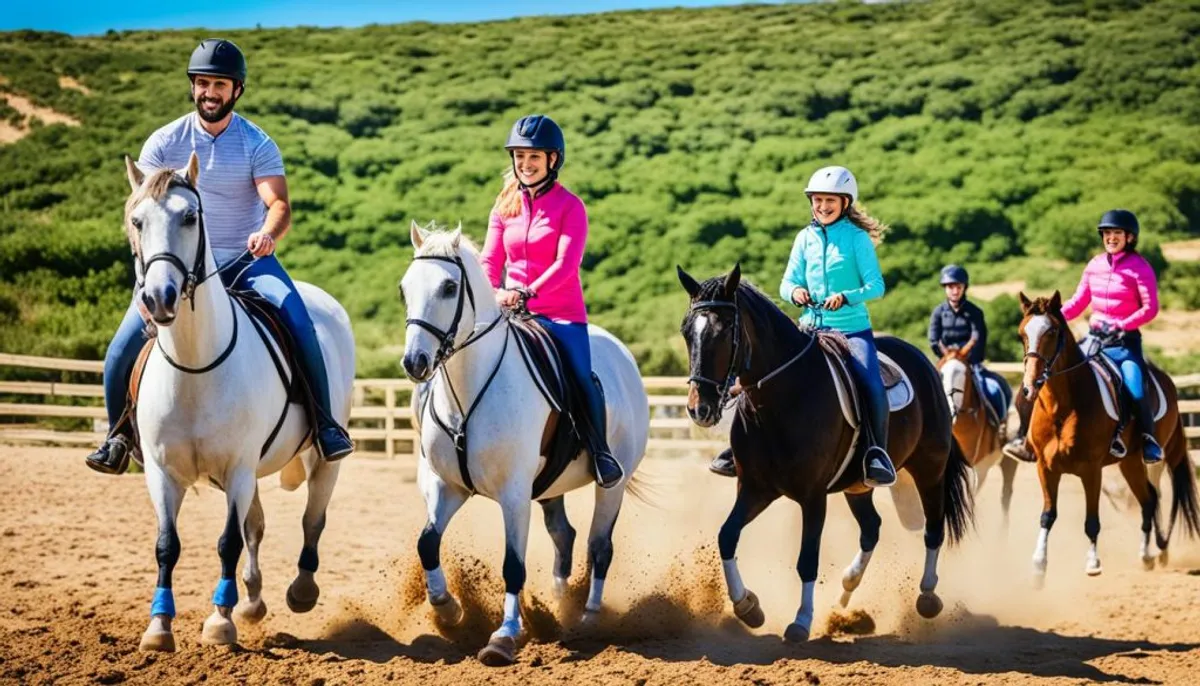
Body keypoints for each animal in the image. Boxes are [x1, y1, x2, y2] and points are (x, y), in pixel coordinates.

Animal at [123, 152, 352, 652]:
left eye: (190, 217)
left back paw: (300, 590)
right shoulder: (162, 471)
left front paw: (219, 622)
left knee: (312, 519)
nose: (159, 298)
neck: (194, 367)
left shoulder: (238, 467)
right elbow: (167, 544)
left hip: (320, 460)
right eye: (136, 220)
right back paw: (252, 600)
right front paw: (159, 626)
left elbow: (227, 541)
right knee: (257, 526)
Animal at [400, 224, 648, 666]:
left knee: (599, 546)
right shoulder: (447, 487)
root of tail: (623, 356)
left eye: (449, 287)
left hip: (613, 485)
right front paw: (448, 610)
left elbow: (513, 565)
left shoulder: (513, 495)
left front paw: (504, 636)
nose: (415, 362)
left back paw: (589, 617)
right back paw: (560, 604)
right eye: (404, 289)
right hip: (549, 486)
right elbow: (427, 543)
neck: (469, 393)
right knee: (564, 536)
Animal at [676, 263, 974, 642]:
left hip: (930, 470)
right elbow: (727, 537)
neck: (781, 399)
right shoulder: (755, 489)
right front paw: (748, 607)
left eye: (725, 329)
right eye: (687, 331)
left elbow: (807, 560)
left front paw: (801, 621)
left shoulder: (813, 497)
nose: (699, 408)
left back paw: (927, 596)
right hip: (858, 485)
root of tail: (924, 363)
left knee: (933, 528)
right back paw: (845, 593)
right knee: (872, 528)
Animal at [1017, 292, 1195, 580]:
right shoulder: (1046, 469)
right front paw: (1038, 566)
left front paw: (1092, 563)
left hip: (1148, 460)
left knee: (1152, 498)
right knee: (1148, 500)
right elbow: (1047, 515)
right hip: (1130, 463)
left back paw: (1151, 553)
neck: (1063, 408)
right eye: (1022, 333)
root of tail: (1166, 380)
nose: (1030, 387)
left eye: (1052, 332)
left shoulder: (1091, 470)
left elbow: (1091, 521)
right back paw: (1147, 556)